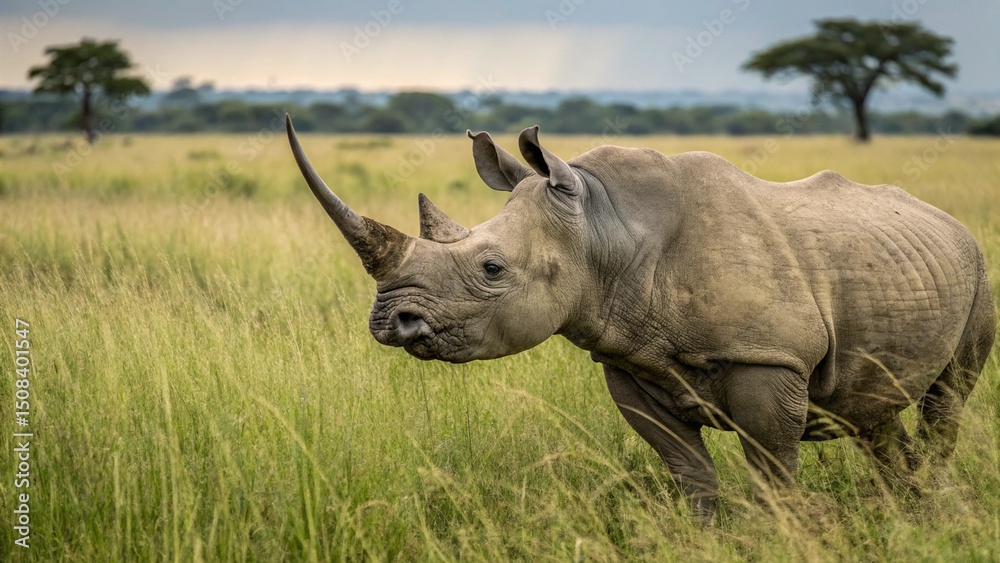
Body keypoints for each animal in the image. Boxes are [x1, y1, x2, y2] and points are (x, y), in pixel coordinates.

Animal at [285, 115, 995, 519]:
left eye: (491, 269)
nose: (389, 322)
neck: (605, 228)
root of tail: (949, 221)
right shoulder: (628, 359)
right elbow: (691, 473)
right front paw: (709, 535)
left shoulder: (768, 357)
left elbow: (770, 472)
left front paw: (777, 534)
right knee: (873, 411)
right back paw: (907, 512)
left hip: (978, 267)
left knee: (947, 399)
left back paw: (930, 511)